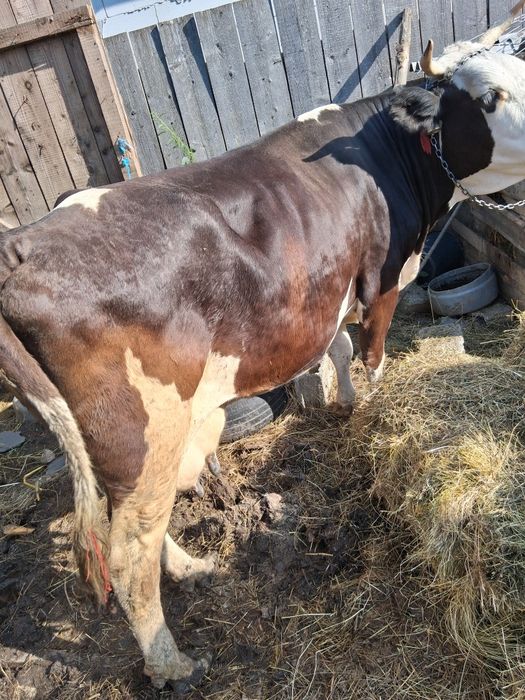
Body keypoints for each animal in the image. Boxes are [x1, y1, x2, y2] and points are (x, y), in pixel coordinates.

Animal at [0, 3, 524, 689]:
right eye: (489, 98)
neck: (382, 156)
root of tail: (19, 247)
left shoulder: (329, 291)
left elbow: (338, 351)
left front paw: (343, 403)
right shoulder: (381, 282)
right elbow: (373, 356)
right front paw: (374, 411)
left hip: (110, 445)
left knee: (132, 527)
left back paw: (188, 567)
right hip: (142, 431)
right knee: (128, 550)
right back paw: (171, 660)